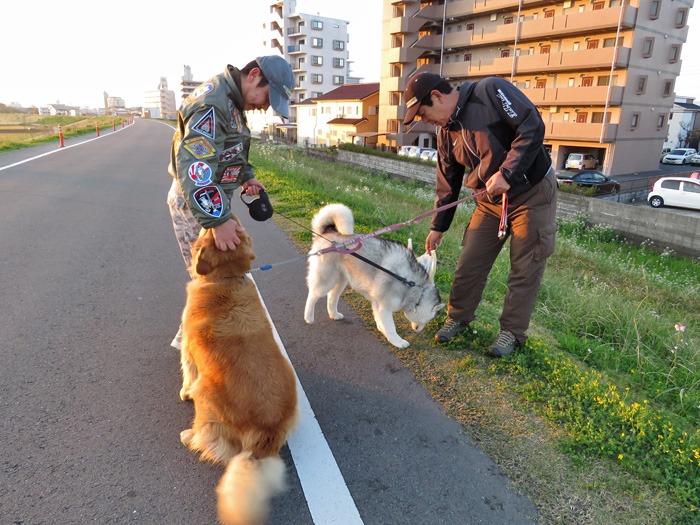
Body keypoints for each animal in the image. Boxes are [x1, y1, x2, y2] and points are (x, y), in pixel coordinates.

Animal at [304, 204, 446, 348]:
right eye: (429, 319)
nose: (419, 329)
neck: (413, 286)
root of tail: (327, 233)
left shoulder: (377, 302)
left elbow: (379, 319)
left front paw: (381, 329)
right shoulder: (384, 306)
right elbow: (390, 327)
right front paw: (397, 341)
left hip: (341, 280)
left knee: (332, 296)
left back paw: (334, 314)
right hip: (326, 279)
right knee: (313, 295)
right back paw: (309, 317)